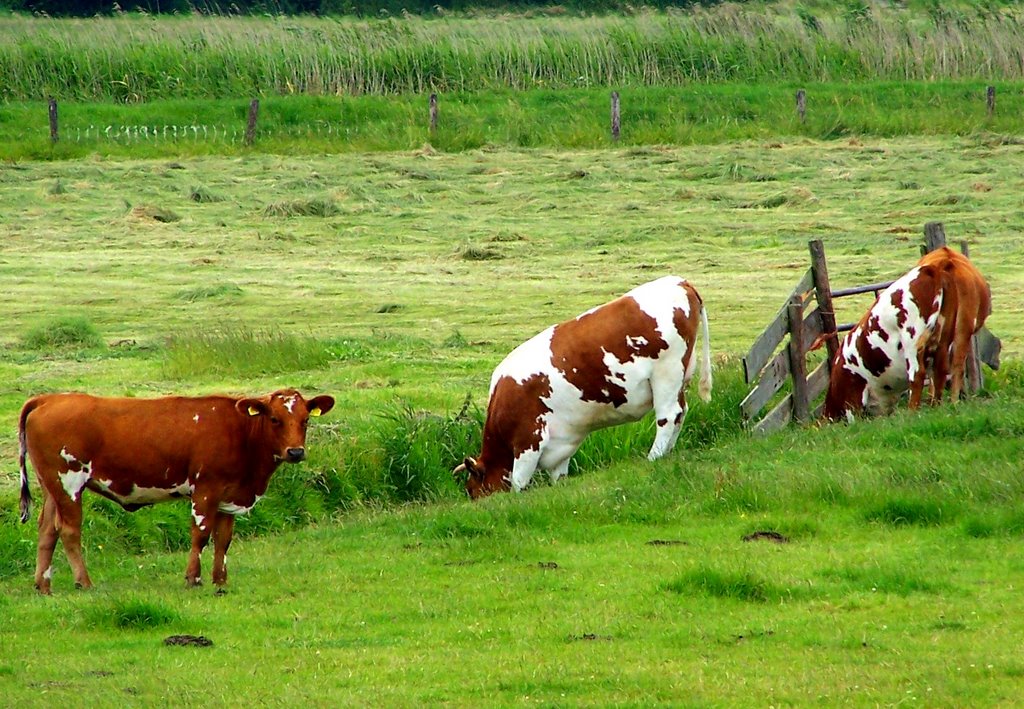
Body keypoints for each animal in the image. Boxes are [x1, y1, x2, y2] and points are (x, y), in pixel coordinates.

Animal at [17, 387, 335, 594]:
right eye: (275, 419)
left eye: (306, 420)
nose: (296, 452)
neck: (241, 432)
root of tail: (49, 398)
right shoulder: (206, 490)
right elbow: (201, 535)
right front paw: (193, 579)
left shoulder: (229, 495)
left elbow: (223, 540)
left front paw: (220, 580)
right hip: (68, 482)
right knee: (69, 530)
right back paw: (83, 582)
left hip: (51, 486)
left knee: (47, 530)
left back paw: (43, 585)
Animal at [456, 274, 712, 502]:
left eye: (472, 491)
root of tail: (679, 281)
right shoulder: (561, 445)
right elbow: (559, 476)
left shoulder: (528, 439)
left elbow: (518, 484)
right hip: (679, 378)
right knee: (681, 412)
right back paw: (668, 453)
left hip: (666, 372)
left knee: (668, 416)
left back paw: (654, 457)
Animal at [823, 246, 991, 418]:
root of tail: (935, 267)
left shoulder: (852, 391)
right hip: (947, 337)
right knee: (944, 369)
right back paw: (938, 406)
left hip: (912, 339)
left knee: (917, 375)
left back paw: (912, 412)